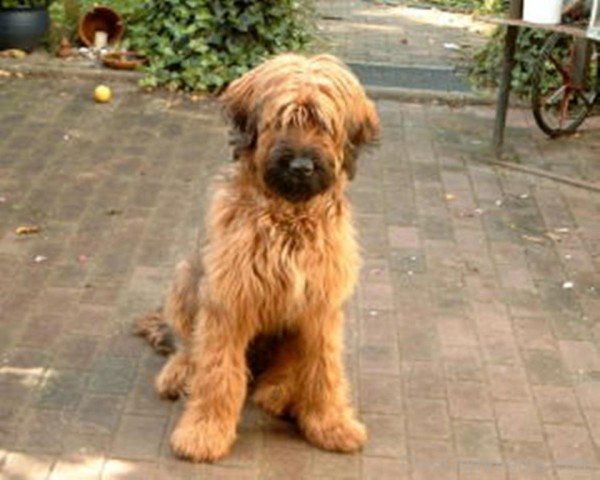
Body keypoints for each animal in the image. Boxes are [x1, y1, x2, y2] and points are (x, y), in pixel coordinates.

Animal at [136, 52, 380, 462]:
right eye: (282, 121)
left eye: (323, 125)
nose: (301, 166)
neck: (288, 218)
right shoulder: (227, 301)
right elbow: (217, 371)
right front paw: (204, 434)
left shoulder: (321, 307)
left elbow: (324, 369)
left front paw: (332, 425)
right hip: (187, 276)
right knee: (188, 344)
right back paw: (180, 372)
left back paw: (278, 392)